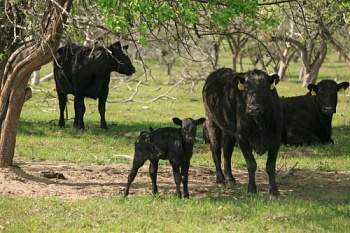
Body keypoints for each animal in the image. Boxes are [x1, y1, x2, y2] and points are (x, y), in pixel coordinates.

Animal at [202, 68, 282, 196]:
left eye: (265, 87)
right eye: (246, 87)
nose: (253, 108)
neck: (260, 123)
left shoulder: (276, 139)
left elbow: (270, 166)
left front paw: (274, 191)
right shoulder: (242, 138)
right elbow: (251, 164)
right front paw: (252, 189)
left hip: (229, 131)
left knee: (227, 151)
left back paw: (230, 178)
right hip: (211, 121)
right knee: (215, 150)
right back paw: (220, 180)